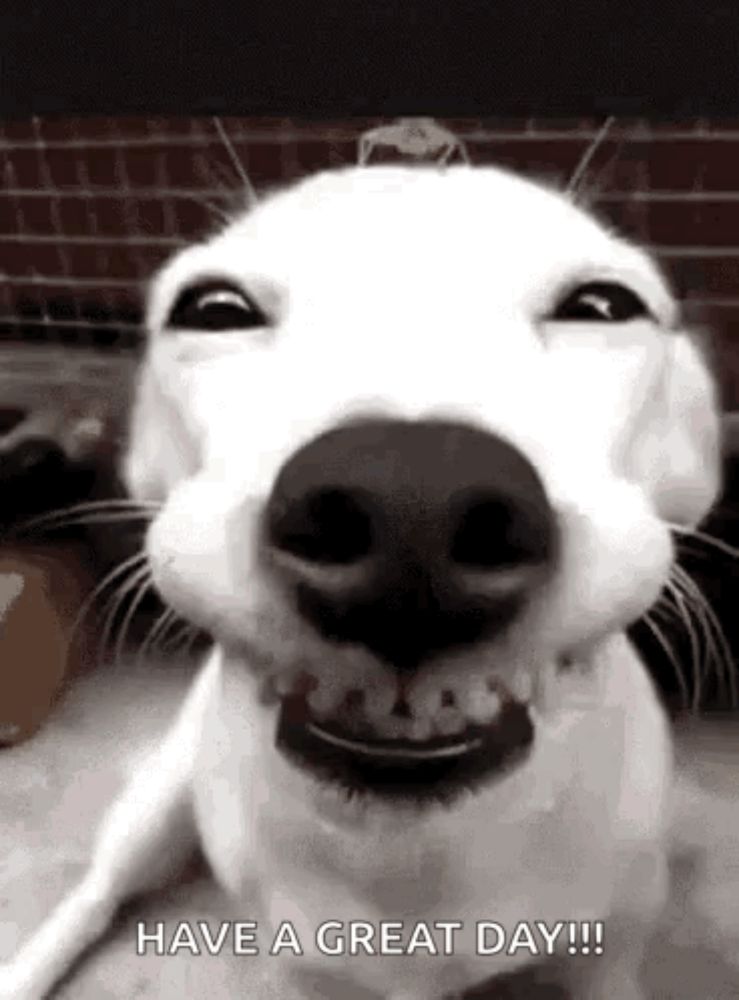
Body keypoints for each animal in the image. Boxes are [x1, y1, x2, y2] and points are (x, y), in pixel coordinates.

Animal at [0, 166, 724, 1000]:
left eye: (603, 305)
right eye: (212, 310)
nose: (411, 503)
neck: (411, 865)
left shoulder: (608, 953)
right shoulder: (299, 964)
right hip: (155, 802)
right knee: (96, 893)